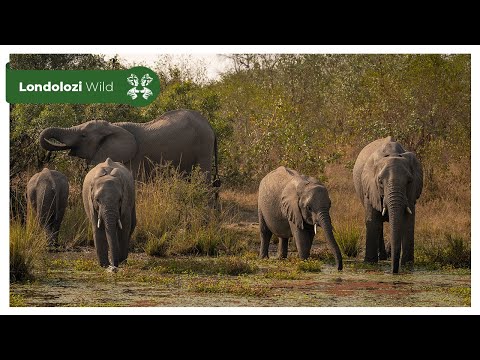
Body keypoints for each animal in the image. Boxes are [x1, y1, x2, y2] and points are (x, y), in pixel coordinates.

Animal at [352, 136, 424, 274]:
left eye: (409, 181)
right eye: (380, 181)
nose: (394, 271)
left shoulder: (411, 194)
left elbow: (408, 223)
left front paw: (408, 266)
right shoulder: (370, 188)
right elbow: (373, 222)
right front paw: (370, 263)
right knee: (379, 224)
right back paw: (383, 258)